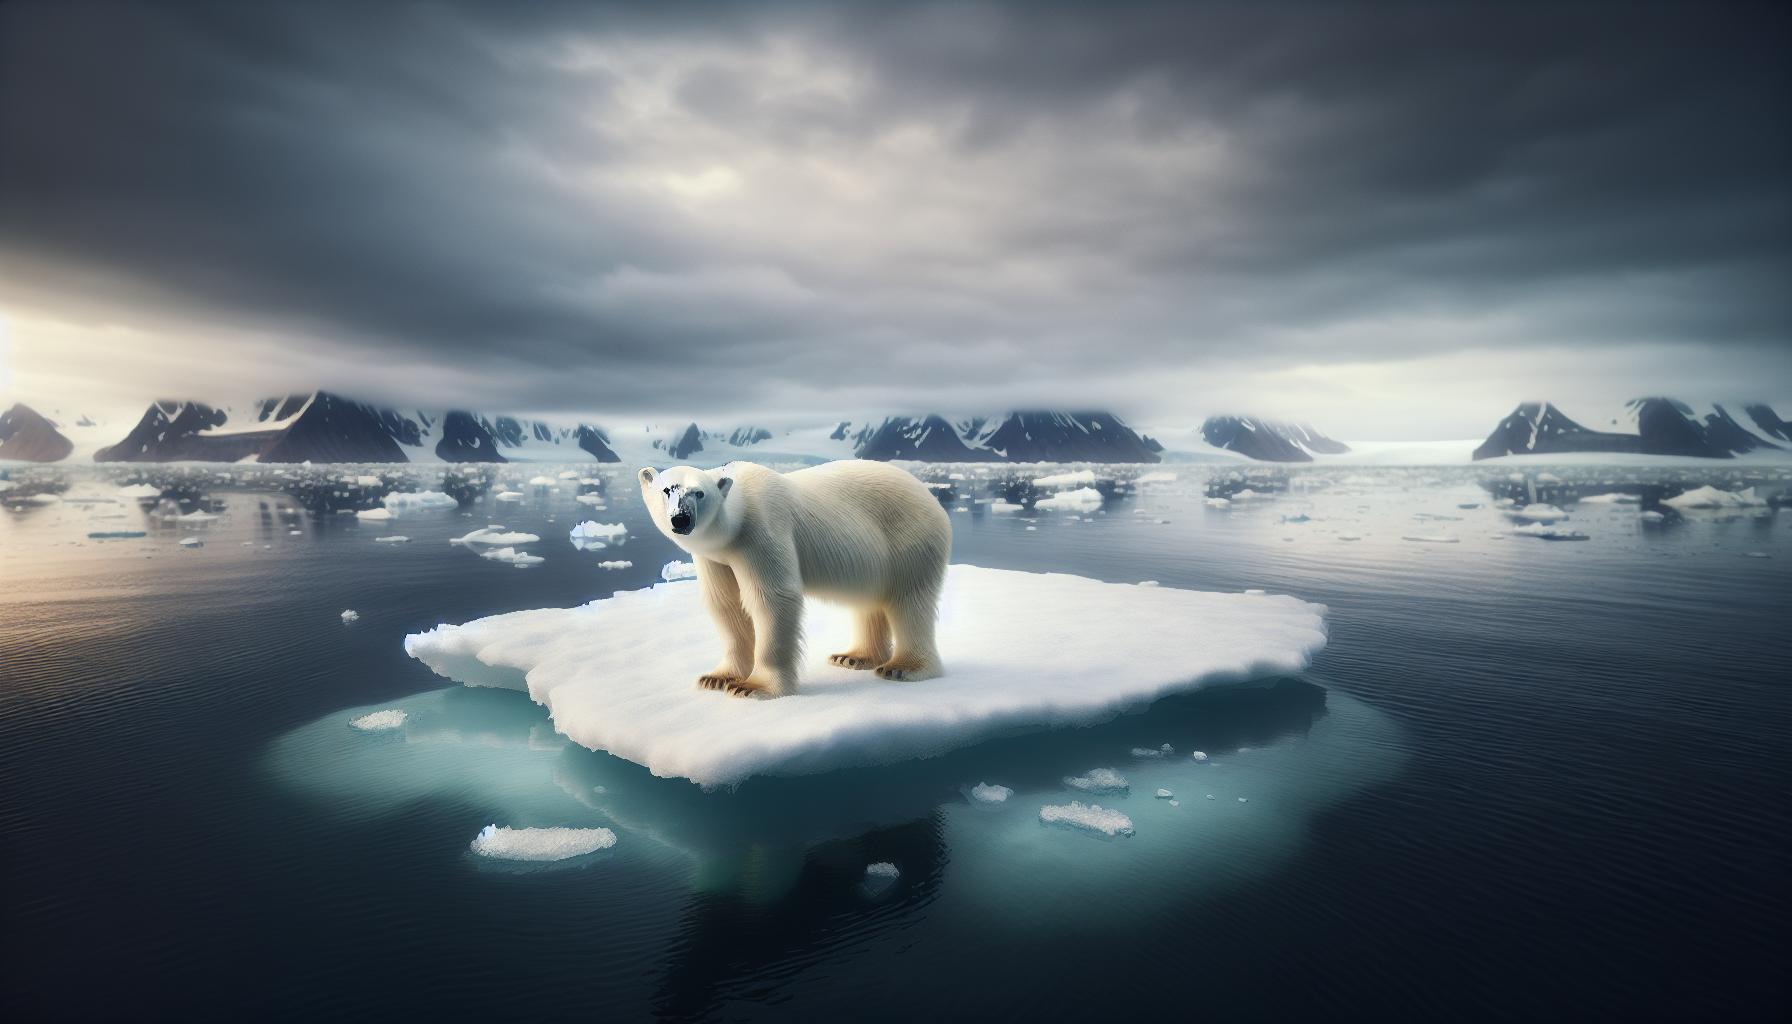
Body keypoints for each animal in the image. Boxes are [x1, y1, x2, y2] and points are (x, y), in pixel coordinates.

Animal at [639, 459, 952, 698]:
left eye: (699, 493)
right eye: (666, 489)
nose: (681, 519)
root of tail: (932, 499)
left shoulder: (761, 532)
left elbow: (773, 598)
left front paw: (754, 687)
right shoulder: (714, 558)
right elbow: (726, 605)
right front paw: (717, 678)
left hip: (910, 540)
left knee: (909, 602)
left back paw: (903, 668)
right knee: (870, 601)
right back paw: (853, 657)